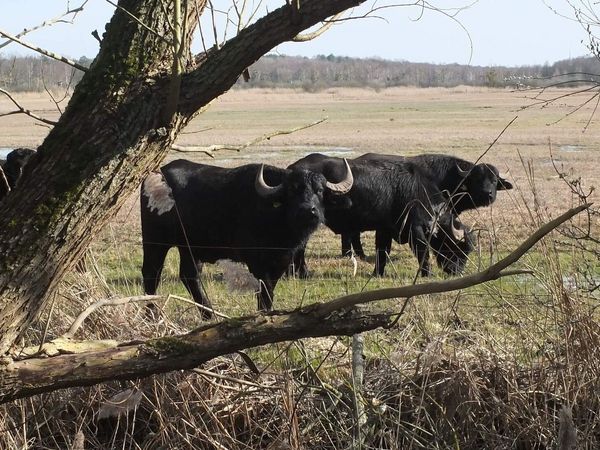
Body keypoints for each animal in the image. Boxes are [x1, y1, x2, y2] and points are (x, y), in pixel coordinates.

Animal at [141, 158, 354, 316]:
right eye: (293, 190)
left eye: (320, 191)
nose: (308, 211)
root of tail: (154, 176)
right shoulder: (256, 261)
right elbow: (264, 291)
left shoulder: (282, 260)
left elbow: (270, 290)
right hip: (155, 242)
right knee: (151, 274)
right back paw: (152, 314)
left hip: (189, 247)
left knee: (189, 276)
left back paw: (209, 313)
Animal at [288, 153, 476, 276]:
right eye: (459, 247)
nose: (458, 272)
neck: (418, 192)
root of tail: (292, 169)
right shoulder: (415, 230)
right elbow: (422, 251)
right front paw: (426, 274)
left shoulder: (385, 229)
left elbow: (382, 252)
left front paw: (377, 273)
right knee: (299, 247)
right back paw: (303, 273)